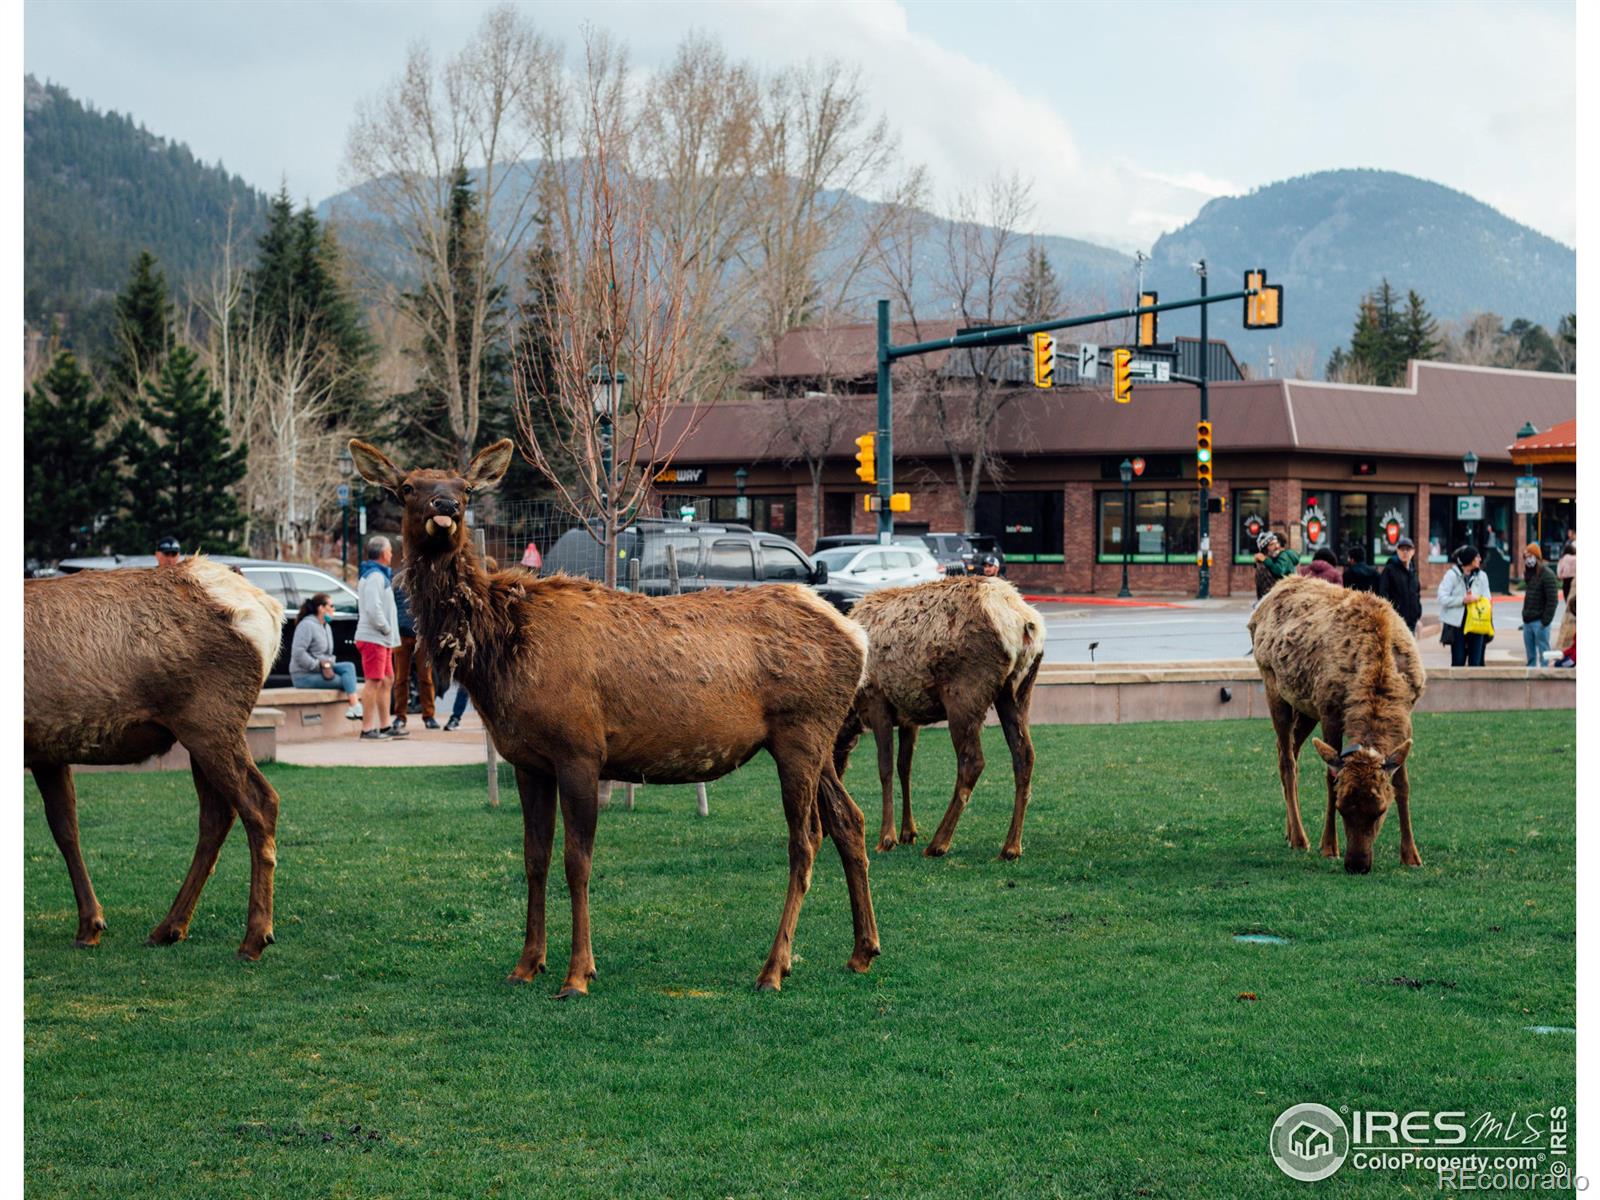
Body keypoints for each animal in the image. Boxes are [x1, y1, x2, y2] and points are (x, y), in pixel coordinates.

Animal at [25, 560, 284, 966]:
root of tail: (269, 611)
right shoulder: (46, 750)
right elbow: (65, 829)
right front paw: (90, 925)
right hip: (202, 736)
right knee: (217, 815)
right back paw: (170, 928)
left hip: (210, 724)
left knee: (260, 803)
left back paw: (254, 937)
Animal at [350, 438, 883, 998]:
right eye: (409, 487)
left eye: (465, 488)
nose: (446, 507)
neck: (499, 654)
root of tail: (856, 635)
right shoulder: (527, 761)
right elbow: (534, 859)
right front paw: (526, 963)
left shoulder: (580, 750)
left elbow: (577, 862)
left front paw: (577, 973)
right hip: (816, 738)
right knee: (849, 820)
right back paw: (862, 950)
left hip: (800, 731)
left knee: (806, 839)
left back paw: (774, 968)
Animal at [838, 579, 1049, 857]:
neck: (851, 707)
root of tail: (1024, 623)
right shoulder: (908, 716)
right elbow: (904, 767)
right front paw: (908, 832)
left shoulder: (877, 701)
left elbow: (885, 768)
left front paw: (887, 838)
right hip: (1017, 692)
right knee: (1024, 755)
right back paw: (1011, 847)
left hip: (963, 696)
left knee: (972, 762)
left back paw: (939, 843)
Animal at [1248, 572, 1427, 876]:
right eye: (1343, 807)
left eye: (1381, 809)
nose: (1356, 865)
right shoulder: (1330, 711)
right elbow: (1330, 777)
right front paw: (1329, 847)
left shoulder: (1406, 717)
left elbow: (1402, 783)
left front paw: (1411, 856)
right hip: (1274, 686)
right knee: (1286, 759)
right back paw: (1300, 838)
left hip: (1305, 706)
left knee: (1289, 749)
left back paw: (1289, 831)